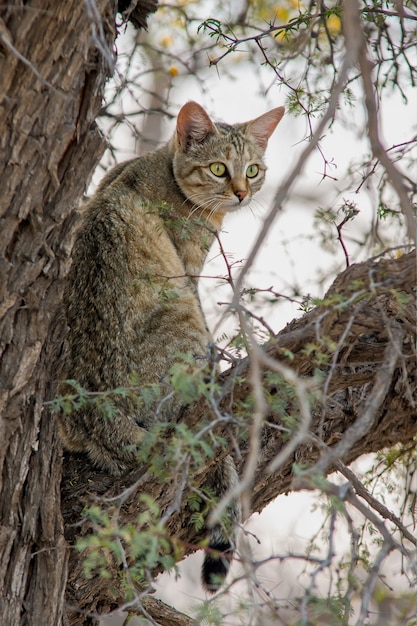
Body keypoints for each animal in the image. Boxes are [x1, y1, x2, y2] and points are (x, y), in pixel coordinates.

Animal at [58, 100, 284, 588]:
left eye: (253, 170)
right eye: (219, 169)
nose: (241, 193)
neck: (156, 166)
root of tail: (96, 418)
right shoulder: (188, 270)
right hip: (185, 323)